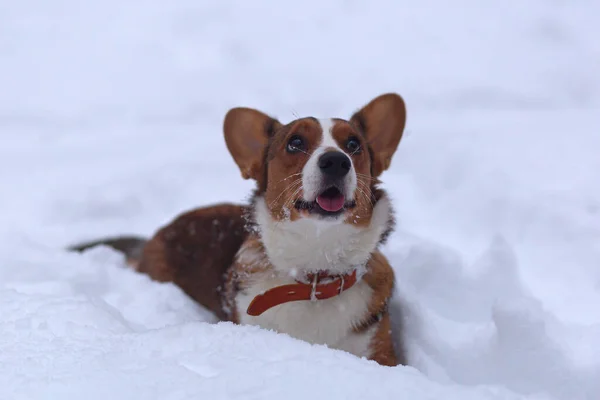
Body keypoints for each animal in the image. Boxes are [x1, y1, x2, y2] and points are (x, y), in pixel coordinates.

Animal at [71, 93, 408, 366]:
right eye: (295, 143)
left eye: (353, 145)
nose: (336, 161)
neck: (316, 271)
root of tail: (154, 236)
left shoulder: (380, 353)